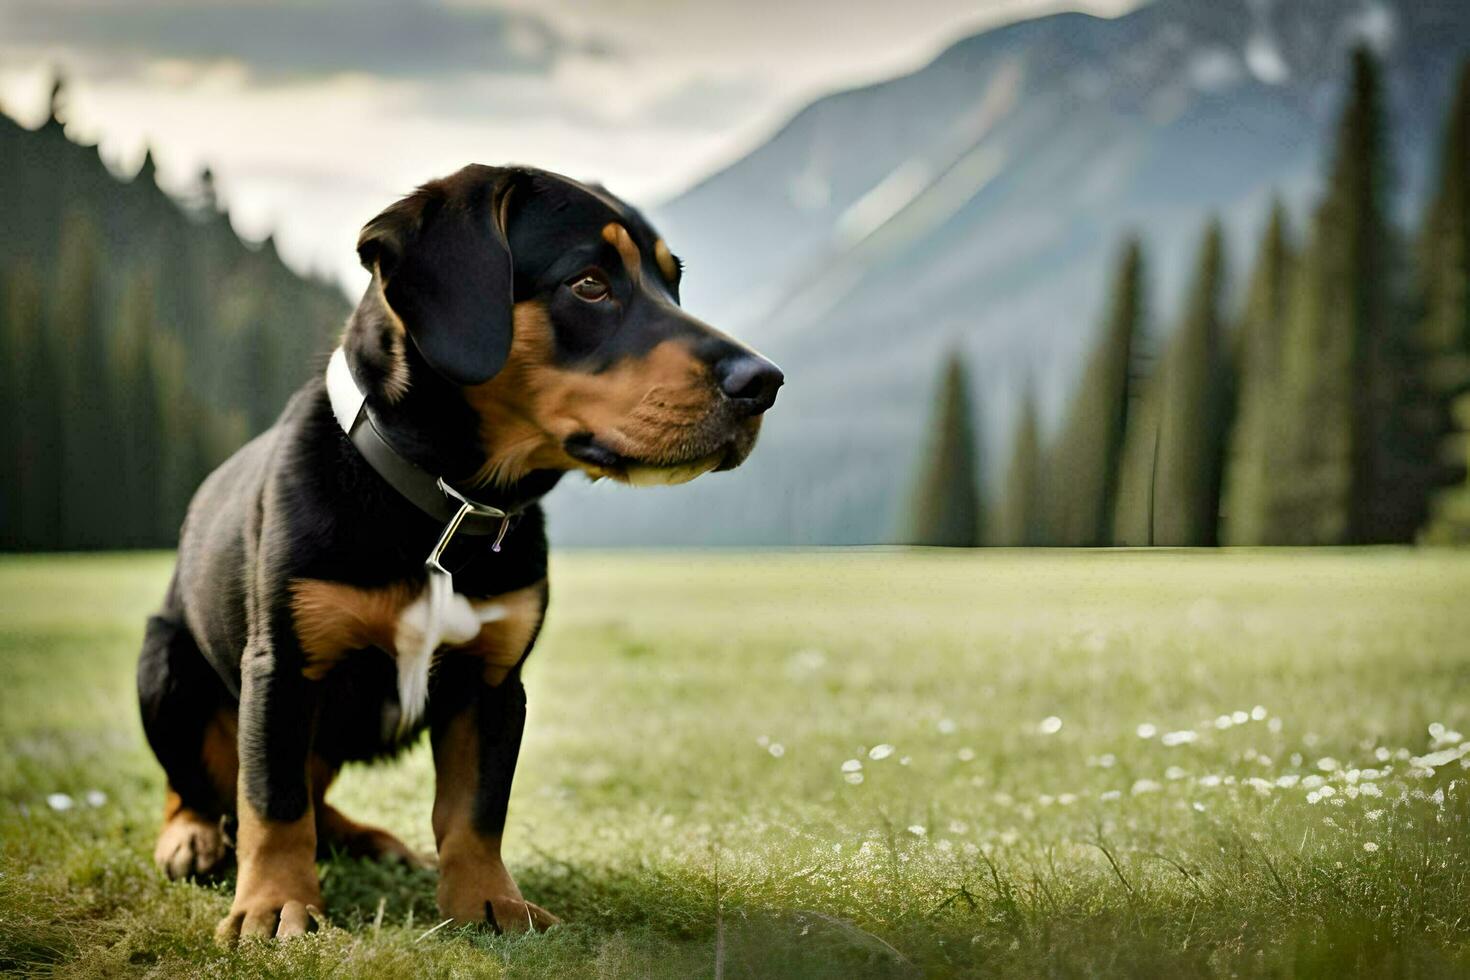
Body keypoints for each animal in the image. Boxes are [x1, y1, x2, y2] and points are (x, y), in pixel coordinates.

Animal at [135, 166, 782, 940]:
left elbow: (475, 809)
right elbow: (272, 801)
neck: (453, 505)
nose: (764, 383)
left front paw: (488, 902)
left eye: (672, 281)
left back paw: (369, 839)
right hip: (163, 664)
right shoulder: (283, 669)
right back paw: (193, 836)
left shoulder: (493, 680)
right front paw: (274, 905)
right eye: (590, 284)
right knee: (201, 785)